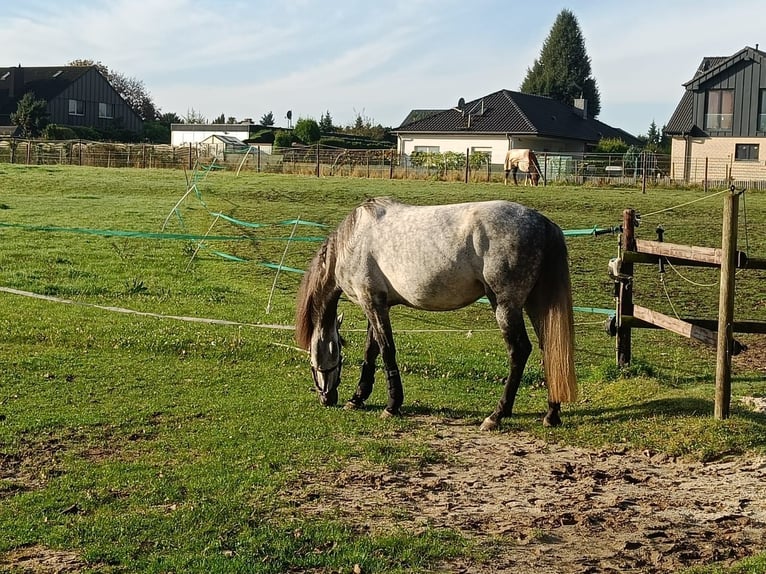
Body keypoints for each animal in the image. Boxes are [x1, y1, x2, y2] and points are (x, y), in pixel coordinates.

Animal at [294, 199, 576, 432]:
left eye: (312, 358)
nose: (326, 398)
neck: (353, 241)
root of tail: (544, 224)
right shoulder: (378, 304)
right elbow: (371, 351)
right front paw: (357, 398)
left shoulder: (370, 302)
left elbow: (386, 351)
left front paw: (392, 406)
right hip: (535, 304)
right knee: (551, 349)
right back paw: (551, 414)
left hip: (506, 306)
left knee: (520, 351)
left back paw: (496, 415)